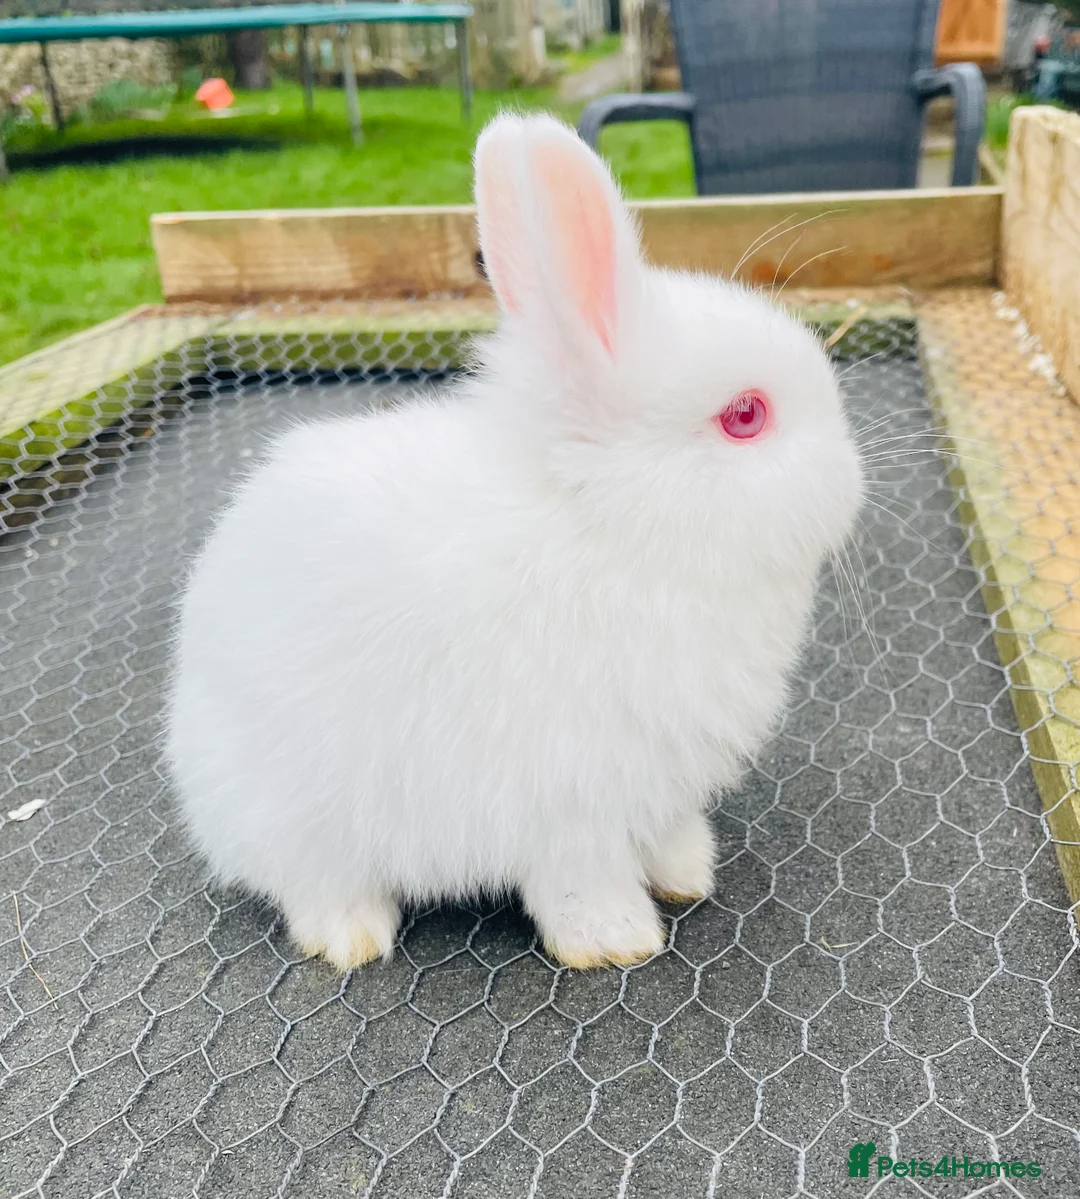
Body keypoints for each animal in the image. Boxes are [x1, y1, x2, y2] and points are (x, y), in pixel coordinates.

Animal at [165, 112, 864, 972]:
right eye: (745, 415)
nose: (853, 478)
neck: (609, 528)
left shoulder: (654, 786)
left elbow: (665, 835)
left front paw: (687, 874)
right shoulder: (563, 800)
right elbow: (580, 881)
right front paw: (617, 941)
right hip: (291, 813)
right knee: (310, 882)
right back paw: (353, 937)